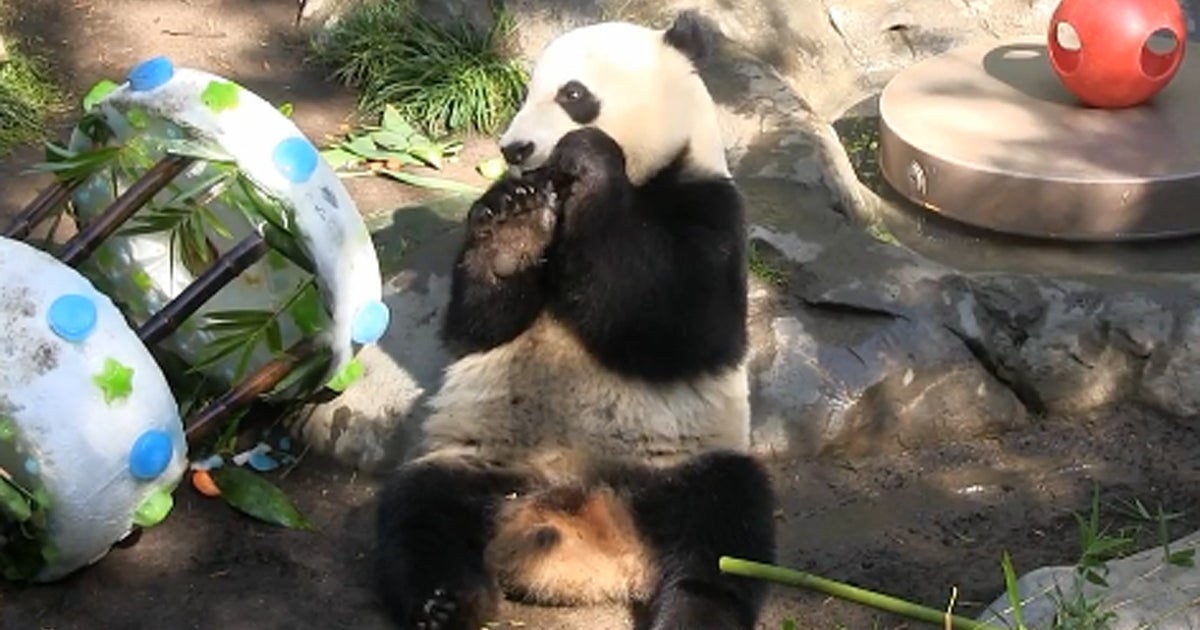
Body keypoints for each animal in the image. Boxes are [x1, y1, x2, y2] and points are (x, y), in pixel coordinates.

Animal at [374, 10, 777, 630]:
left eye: (573, 94)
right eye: (524, 92)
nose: (515, 147)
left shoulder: (709, 207)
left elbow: (683, 328)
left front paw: (589, 159)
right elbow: (477, 327)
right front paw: (513, 228)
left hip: (678, 462)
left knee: (726, 529)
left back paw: (693, 613)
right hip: (479, 457)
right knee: (421, 510)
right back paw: (447, 602)